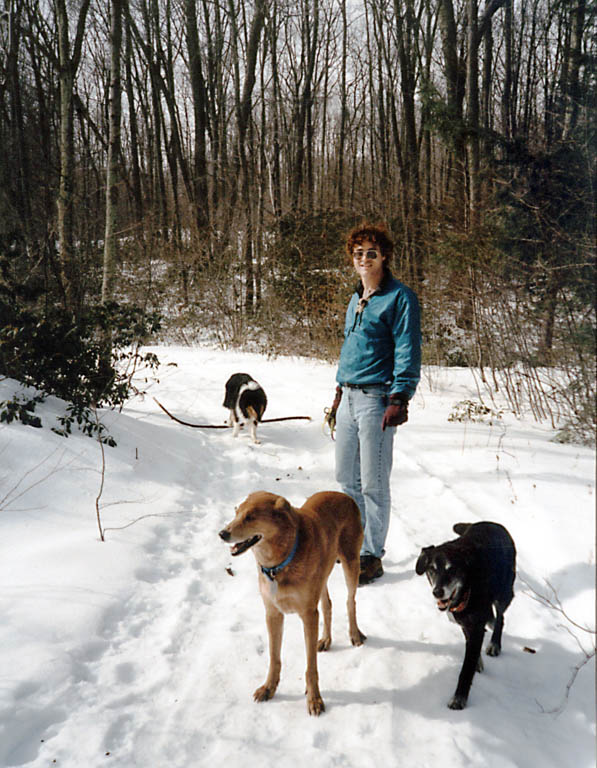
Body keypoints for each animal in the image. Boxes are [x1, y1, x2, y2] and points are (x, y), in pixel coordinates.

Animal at [219, 492, 366, 712]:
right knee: (327, 605)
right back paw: (326, 639)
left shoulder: (308, 615)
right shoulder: (273, 614)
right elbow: (274, 658)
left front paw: (314, 698)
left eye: (250, 517)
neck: (279, 564)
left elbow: (311, 666)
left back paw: (354, 634)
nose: (222, 533)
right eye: (236, 512)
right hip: (322, 576)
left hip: (351, 563)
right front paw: (268, 688)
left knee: (350, 601)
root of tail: (344, 495)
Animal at [414, 520, 516, 712]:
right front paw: (477, 662)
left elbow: (466, 669)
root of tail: (495, 524)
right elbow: (472, 650)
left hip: (504, 594)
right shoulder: (466, 624)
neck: (467, 589)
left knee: (500, 618)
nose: (437, 592)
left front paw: (459, 698)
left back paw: (495, 643)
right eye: (432, 569)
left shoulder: (475, 627)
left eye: (451, 570)